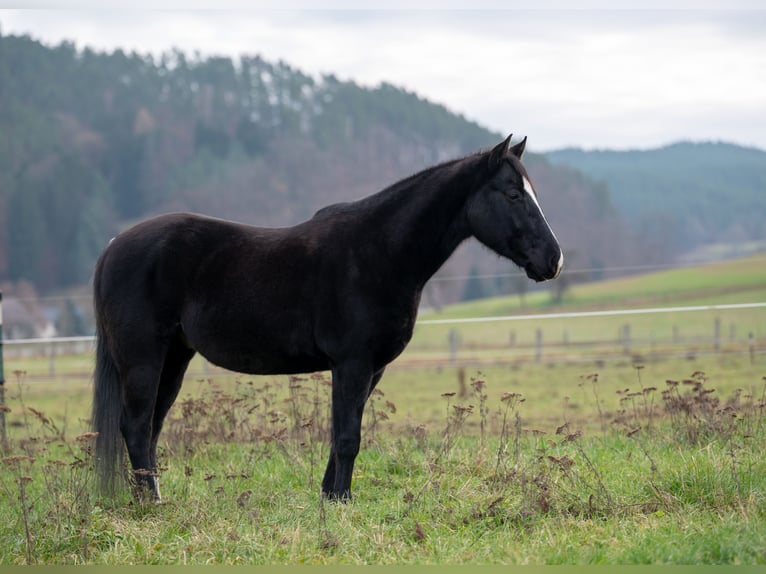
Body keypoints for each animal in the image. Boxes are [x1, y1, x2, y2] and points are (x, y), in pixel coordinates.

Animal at [91, 134, 563, 502]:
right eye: (513, 194)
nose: (554, 260)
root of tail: (114, 246)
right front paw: (343, 501)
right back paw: (151, 503)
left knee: (151, 427)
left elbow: (340, 435)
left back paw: (147, 496)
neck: (378, 253)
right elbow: (349, 436)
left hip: (174, 358)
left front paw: (330, 496)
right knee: (136, 426)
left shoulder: (369, 369)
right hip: (144, 360)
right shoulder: (352, 364)